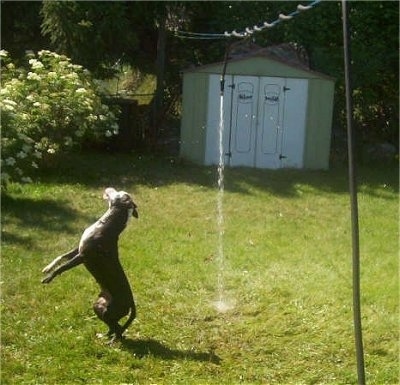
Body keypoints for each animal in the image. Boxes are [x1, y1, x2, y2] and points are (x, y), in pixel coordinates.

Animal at [42, 187, 138, 340]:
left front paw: (48, 278)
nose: (110, 187)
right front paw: (47, 268)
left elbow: (63, 267)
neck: (106, 224)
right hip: (98, 307)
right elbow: (61, 257)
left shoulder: (83, 256)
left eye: (120, 193)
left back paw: (111, 341)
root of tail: (132, 303)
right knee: (114, 327)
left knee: (118, 330)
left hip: (109, 312)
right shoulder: (78, 249)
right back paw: (104, 336)